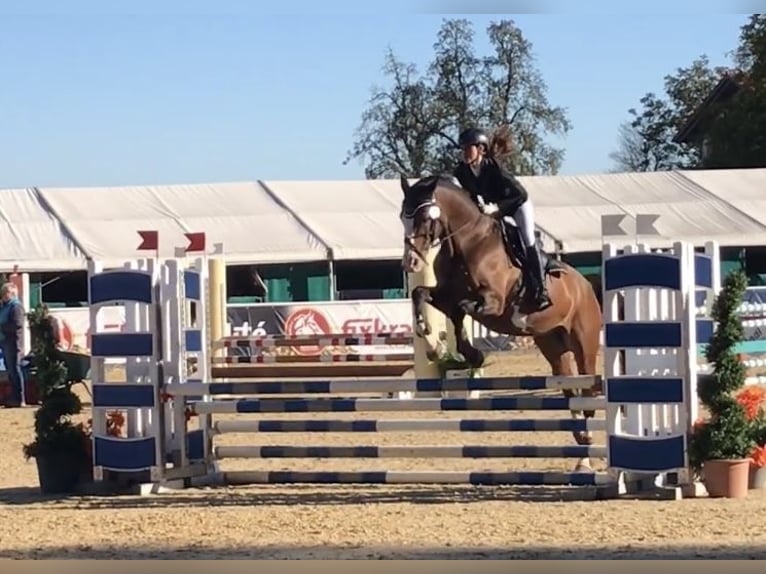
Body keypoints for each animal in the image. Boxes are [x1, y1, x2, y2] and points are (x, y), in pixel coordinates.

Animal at [402, 173, 608, 474]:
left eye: (426, 216)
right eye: (402, 217)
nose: (411, 263)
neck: (467, 243)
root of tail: (586, 285)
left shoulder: (493, 302)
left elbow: (462, 310)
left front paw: (467, 353)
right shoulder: (446, 295)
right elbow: (423, 296)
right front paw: (435, 346)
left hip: (585, 343)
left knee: (588, 391)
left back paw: (586, 454)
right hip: (553, 346)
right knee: (572, 392)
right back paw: (582, 452)